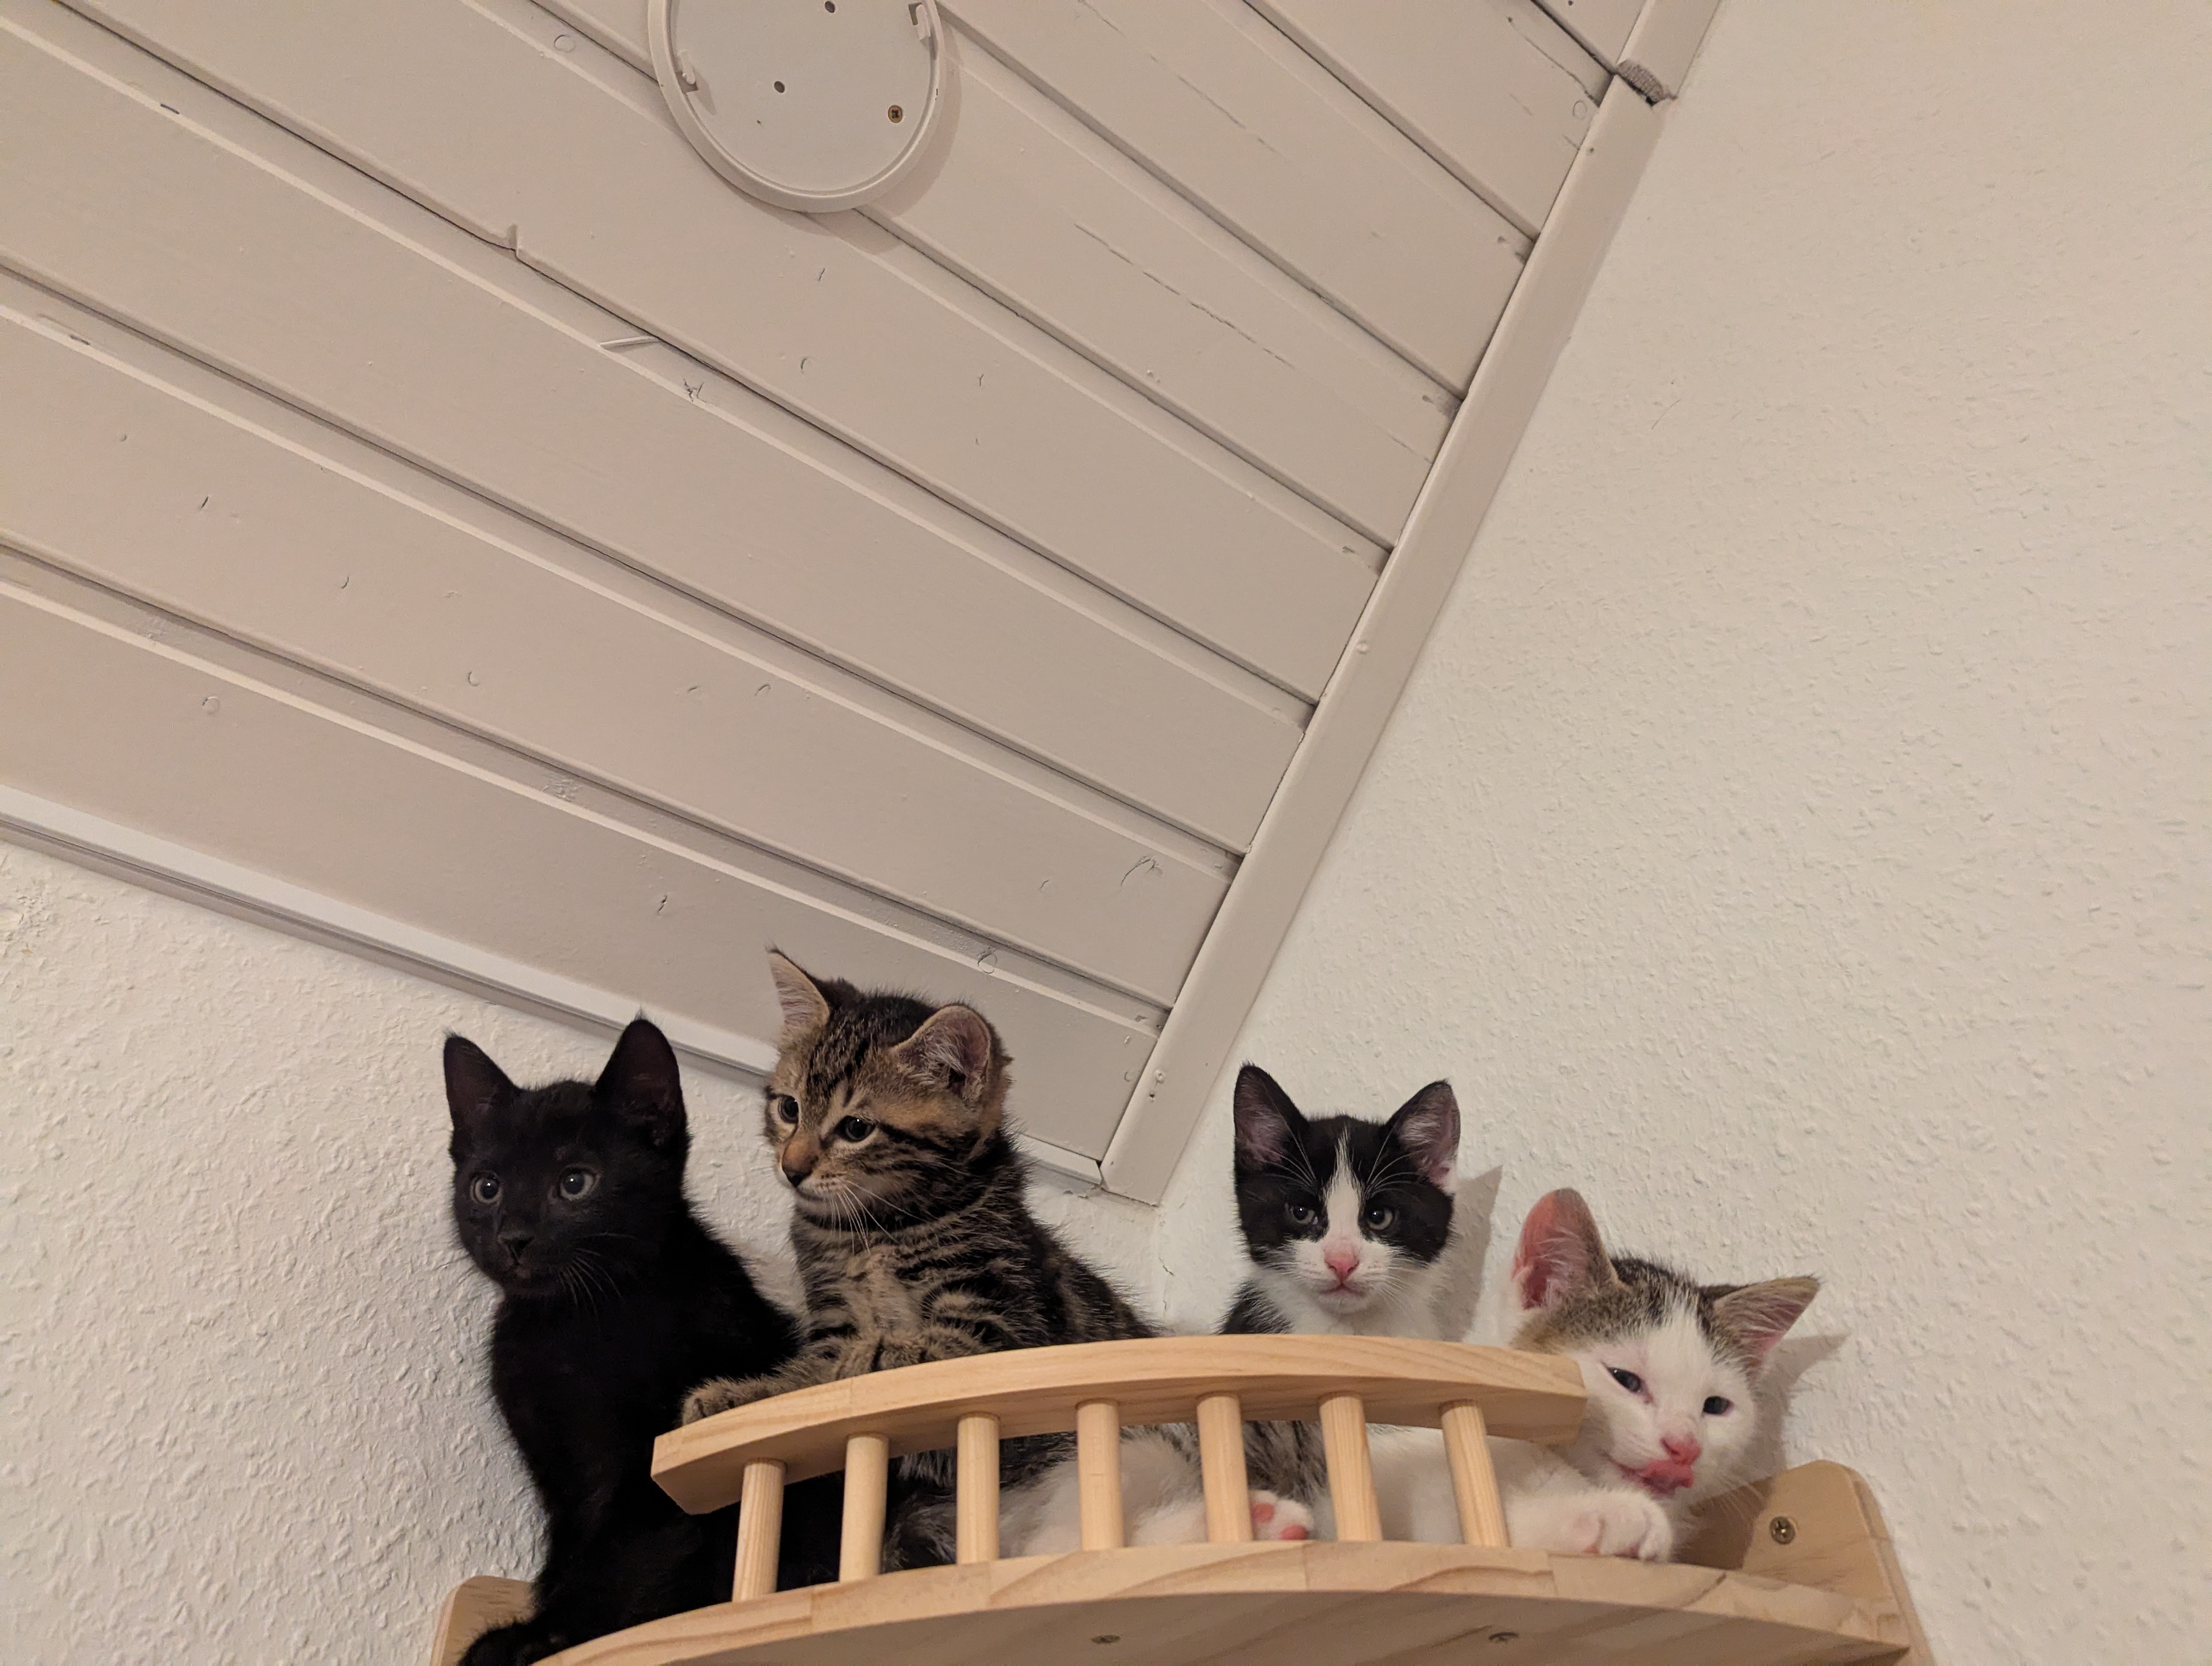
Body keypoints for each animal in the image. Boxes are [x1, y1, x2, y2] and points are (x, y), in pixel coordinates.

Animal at [445, 1017, 839, 1665]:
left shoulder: (653, 1466)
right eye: (486, 1188)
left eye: (575, 1183)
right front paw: (541, 1625)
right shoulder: (559, 1471)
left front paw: (553, 1634)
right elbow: (575, 1546)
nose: (514, 1237)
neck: (576, 1323)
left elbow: (631, 1552)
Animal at [679, 952, 1155, 1570]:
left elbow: (931, 1351)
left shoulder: (1011, 1330)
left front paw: (870, 1356)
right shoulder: (833, 1314)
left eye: (856, 1128)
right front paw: (744, 1395)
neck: (879, 1231)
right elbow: (809, 1381)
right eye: (788, 1109)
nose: (792, 1167)